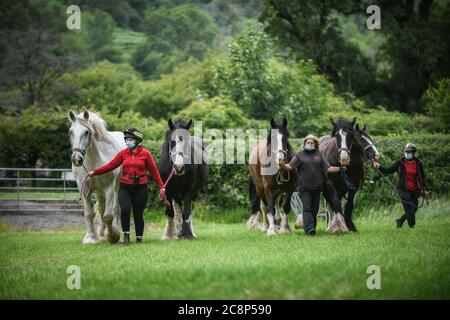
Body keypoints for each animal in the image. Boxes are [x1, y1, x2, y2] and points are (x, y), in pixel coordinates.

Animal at [68, 111, 125, 244]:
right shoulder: (84, 188)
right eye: (70, 132)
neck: (94, 162)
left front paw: (113, 236)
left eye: (86, 132)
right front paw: (91, 238)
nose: (77, 159)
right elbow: (89, 214)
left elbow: (108, 216)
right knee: (101, 208)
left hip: (116, 188)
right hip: (98, 192)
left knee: (115, 209)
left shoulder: (109, 189)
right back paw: (102, 234)